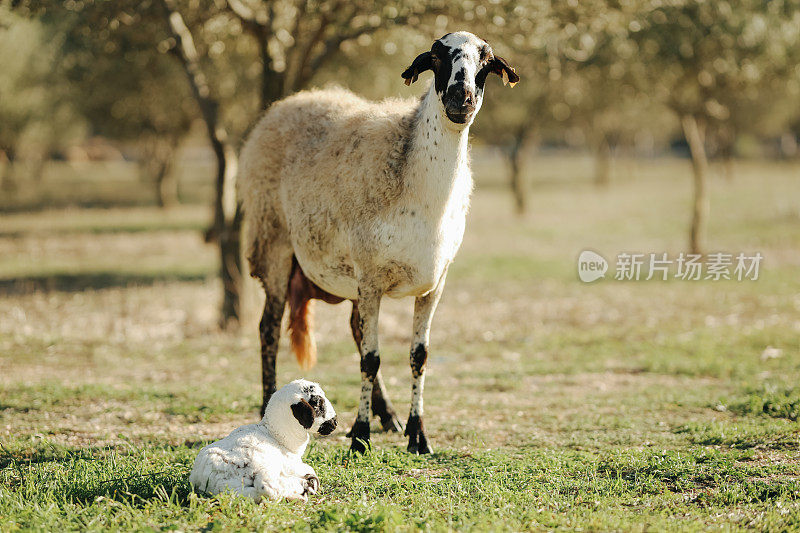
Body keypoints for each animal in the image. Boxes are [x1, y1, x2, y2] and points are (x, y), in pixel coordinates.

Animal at [190, 380, 338, 500]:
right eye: (318, 403)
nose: (335, 422)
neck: (277, 436)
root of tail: (215, 476)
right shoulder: (290, 464)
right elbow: (308, 468)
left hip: (239, 491)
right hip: (264, 466)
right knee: (267, 487)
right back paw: (303, 490)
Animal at [239, 31, 520, 450]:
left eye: (485, 63)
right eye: (437, 57)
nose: (461, 99)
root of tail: (286, 103)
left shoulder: (434, 283)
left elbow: (419, 356)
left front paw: (417, 435)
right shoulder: (371, 278)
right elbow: (370, 359)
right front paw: (359, 436)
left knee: (355, 330)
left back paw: (388, 416)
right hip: (274, 245)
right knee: (268, 328)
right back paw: (266, 405)